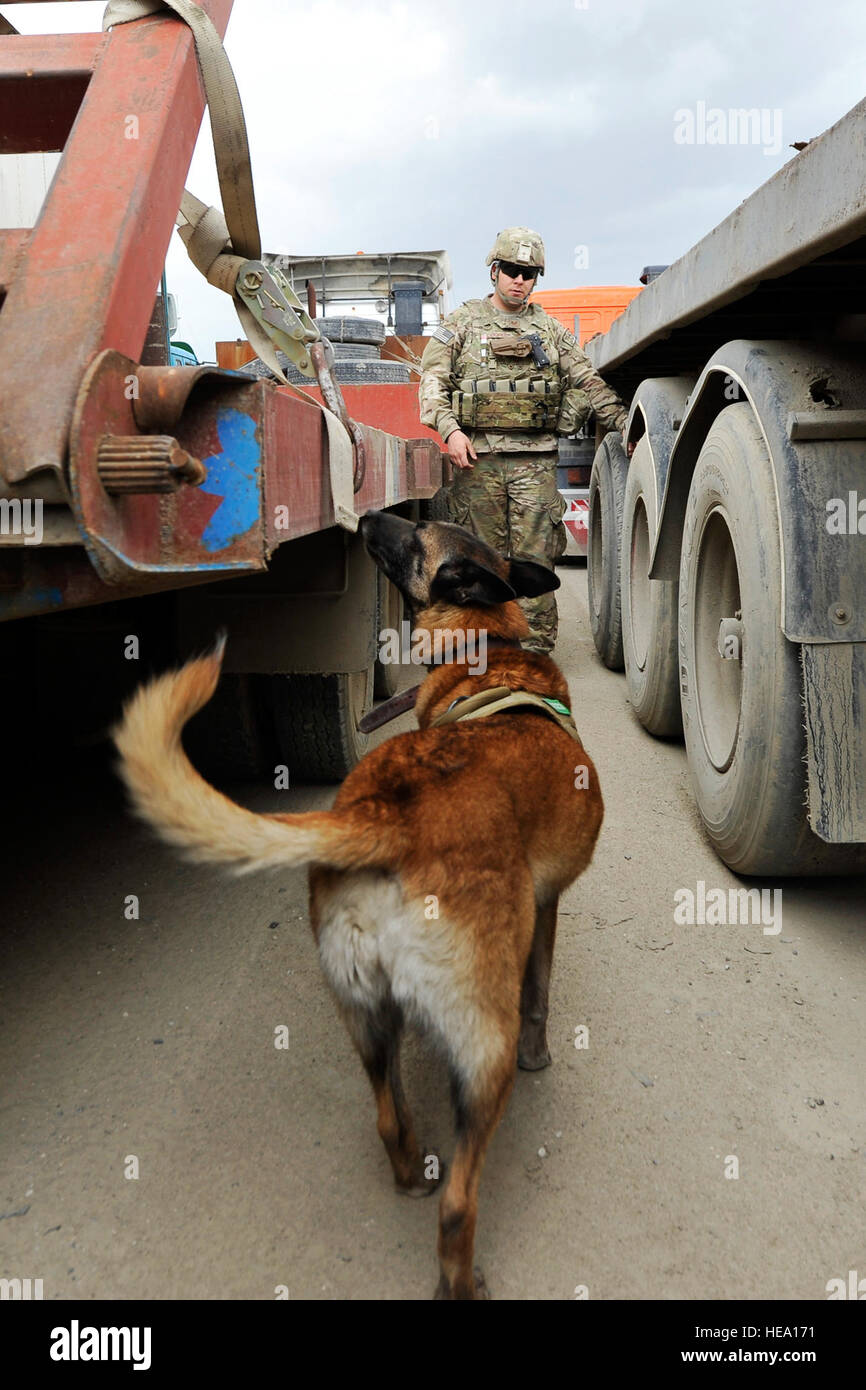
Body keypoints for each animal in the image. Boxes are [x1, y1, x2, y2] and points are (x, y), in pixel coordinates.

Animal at [113, 514, 603, 1301]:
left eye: (418, 538)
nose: (368, 518)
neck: (488, 650)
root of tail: (384, 818)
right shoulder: (549, 908)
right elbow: (540, 996)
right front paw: (543, 1056)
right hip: (481, 1049)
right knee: (457, 1202)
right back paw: (461, 1279)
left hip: (368, 1017)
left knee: (388, 1120)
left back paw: (408, 1172)